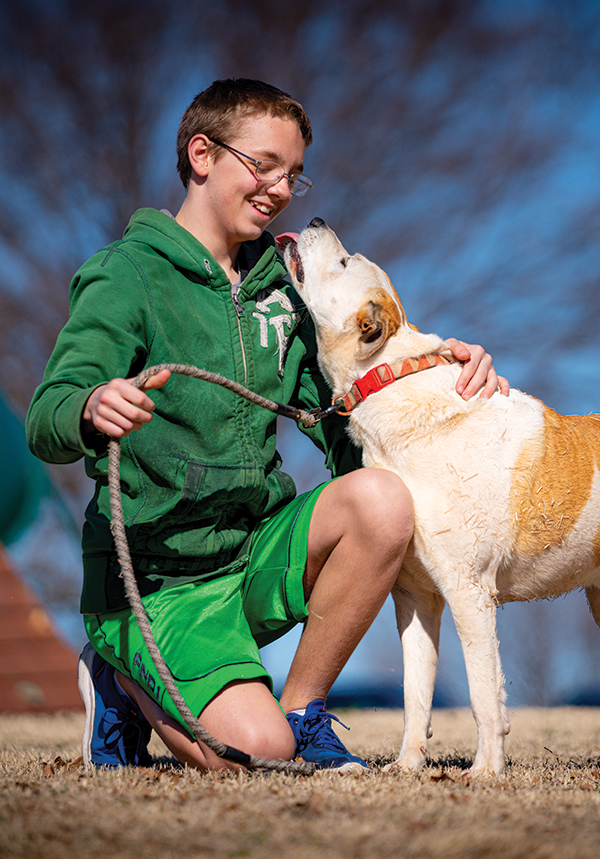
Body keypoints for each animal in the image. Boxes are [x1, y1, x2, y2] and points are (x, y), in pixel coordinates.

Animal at [280, 218, 600, 776]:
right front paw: (408, 765)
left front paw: (486, 772)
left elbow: (482, 694)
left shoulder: (468, 591)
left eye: (343, 262)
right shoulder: (415, 598)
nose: (317, 221)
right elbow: (416, 693)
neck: (388, 377)